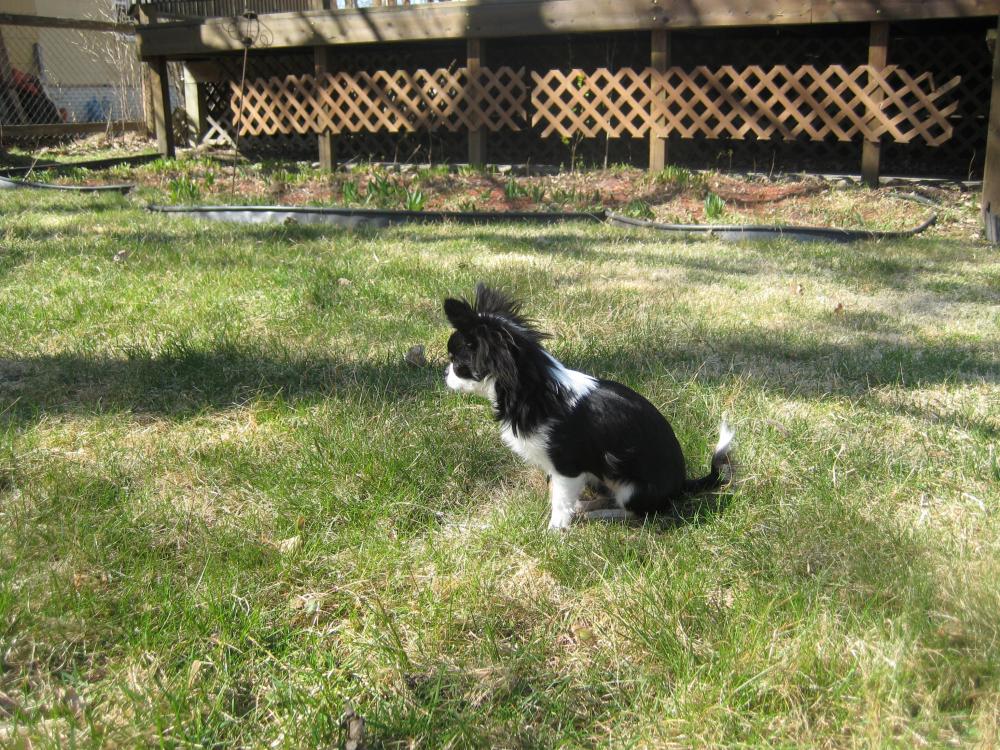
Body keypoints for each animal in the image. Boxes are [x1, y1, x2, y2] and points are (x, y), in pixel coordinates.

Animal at [443, 283, 733, 529]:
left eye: (457, 363)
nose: (446, 374)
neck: (535, 390)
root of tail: (683, 485)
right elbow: (555, 493)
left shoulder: (566, 468)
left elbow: (560, 501)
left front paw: (555, 532)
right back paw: (588, 505)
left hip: (632, 489)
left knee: (635, 513)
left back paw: (598, 513)